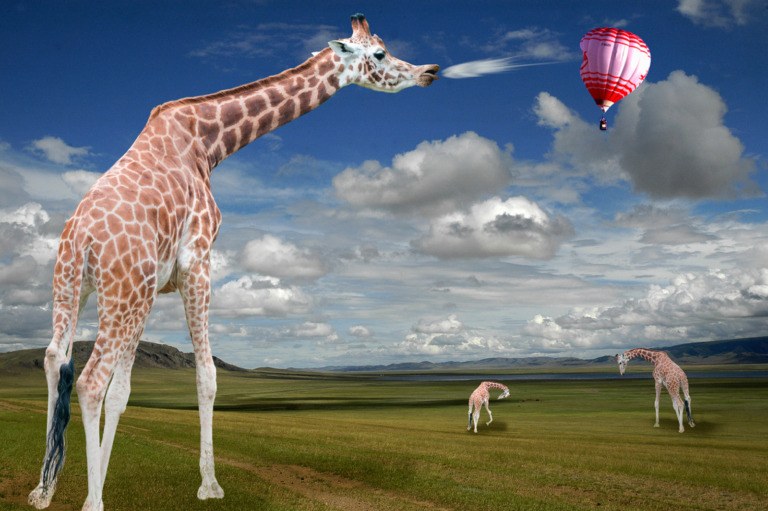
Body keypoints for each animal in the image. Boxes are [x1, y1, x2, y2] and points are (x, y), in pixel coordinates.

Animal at [28, 14, 438, 510]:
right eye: (379, 53)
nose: (430, 71)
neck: (209, 143)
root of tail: (83, 239)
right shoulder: (197, 262)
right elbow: (205, 375)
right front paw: (209, 485)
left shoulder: (154, 286)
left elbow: (123, 392)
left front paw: (100, 477)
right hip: (123, 291)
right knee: (89, 381)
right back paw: (92, 503)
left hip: (76, 287)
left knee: (56, 359)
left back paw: (43, 490)